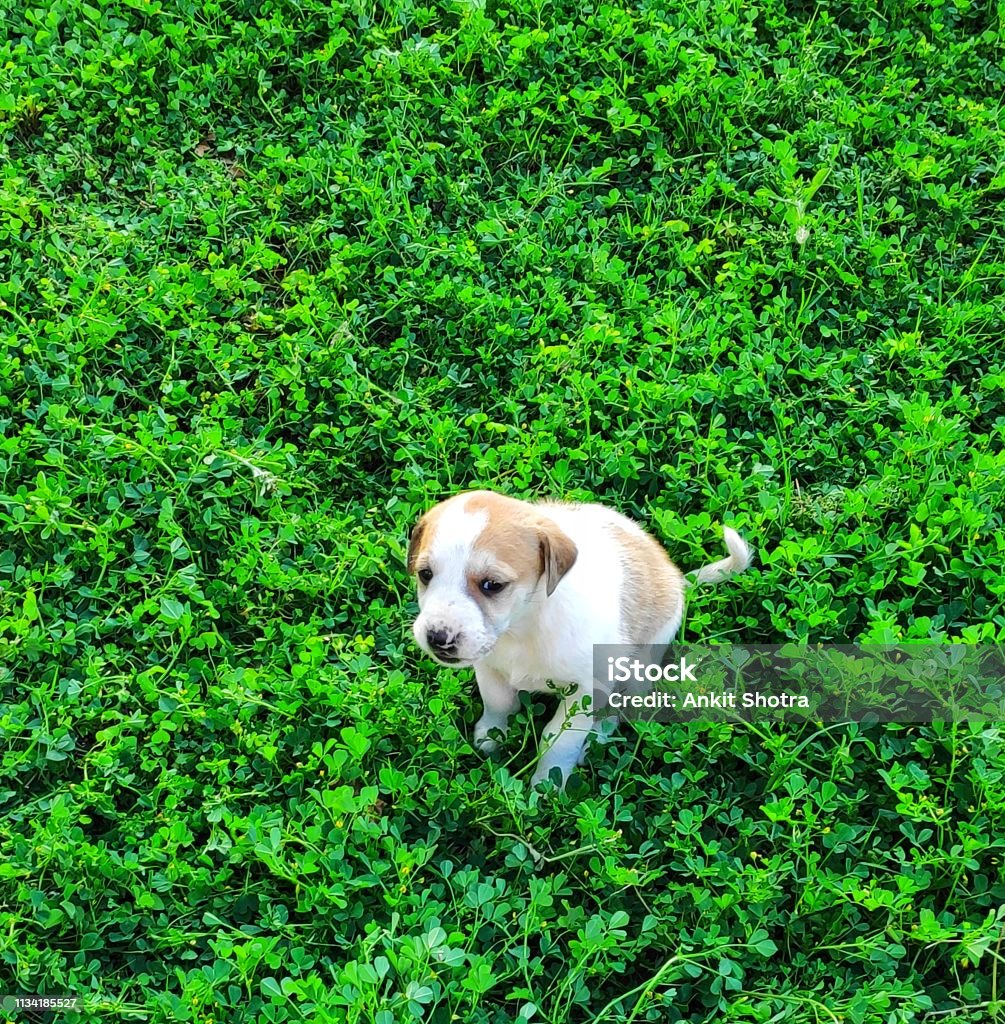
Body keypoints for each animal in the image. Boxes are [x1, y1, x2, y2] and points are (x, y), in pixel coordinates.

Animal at [403, 491, 749, 786]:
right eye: (425, 574)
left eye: (492, 585)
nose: (437, 637)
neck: (525, 626)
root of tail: (675, 577)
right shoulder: (489, 666)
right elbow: (498, 702)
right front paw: (490, 736)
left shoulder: (587, 689)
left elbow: (559, 738)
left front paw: (547, 783)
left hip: (638, 669)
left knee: (621, 708)